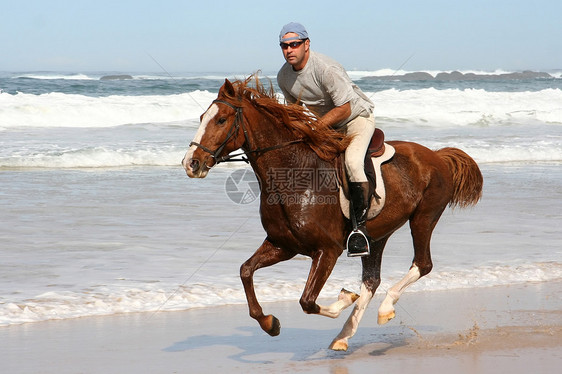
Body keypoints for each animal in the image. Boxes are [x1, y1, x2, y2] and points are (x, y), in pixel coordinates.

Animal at [180, 76, 482, 350]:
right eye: (201, 117)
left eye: (221, 120)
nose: (191, 163)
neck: (294, 176)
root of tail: (438, 156)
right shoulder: (283, 245)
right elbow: (246, 271)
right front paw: (269, 323)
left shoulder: (327, 250)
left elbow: (307, 301)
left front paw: (344, 299)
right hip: (377, 235)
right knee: (372, 280)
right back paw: (344, 336)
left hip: (423, 218)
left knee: (422, 264)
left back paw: (384, 308)